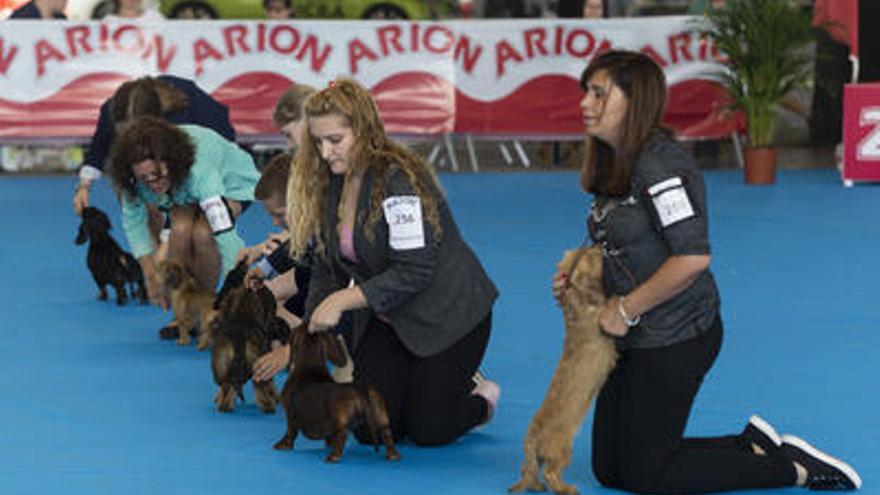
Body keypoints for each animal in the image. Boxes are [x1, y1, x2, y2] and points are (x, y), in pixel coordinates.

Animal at [274, 324, 400, 464]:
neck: (310, 365)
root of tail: (361, 390)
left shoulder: (291, 415)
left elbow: (290, 432)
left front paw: (283, 445)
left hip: (341, 422)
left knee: (342, 435)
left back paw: (334, 456)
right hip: (381, 416)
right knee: (387, 432)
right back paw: (392, 455)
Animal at [508, 248, 620, 495]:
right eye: (592, 256)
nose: (600, 245)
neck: (577, 303)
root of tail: (532, 438)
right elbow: (612, 303)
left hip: (537, 459)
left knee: (528, 470)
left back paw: (535, 485)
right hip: (562, 450)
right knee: (551, 473)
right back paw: (566, 488)